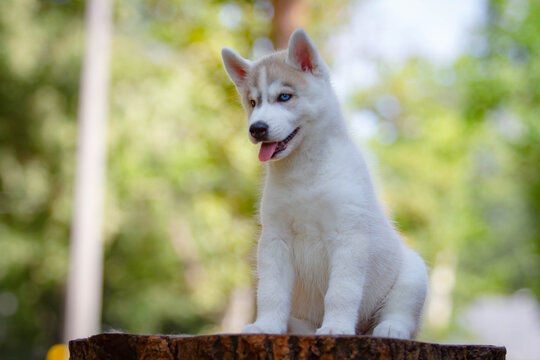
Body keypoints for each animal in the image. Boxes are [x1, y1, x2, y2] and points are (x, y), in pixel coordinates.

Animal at [221, 28, 428, 340]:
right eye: (253, 103)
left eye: (284, 96)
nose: (256, 129)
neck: (304, 172)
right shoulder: (275, 240)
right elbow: (271, 291)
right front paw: (267, 325)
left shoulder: (349, 237)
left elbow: (341, 292)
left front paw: (336, 328)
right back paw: (296, 327)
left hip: (414, 273)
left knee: (400, 311)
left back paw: (390, 328)